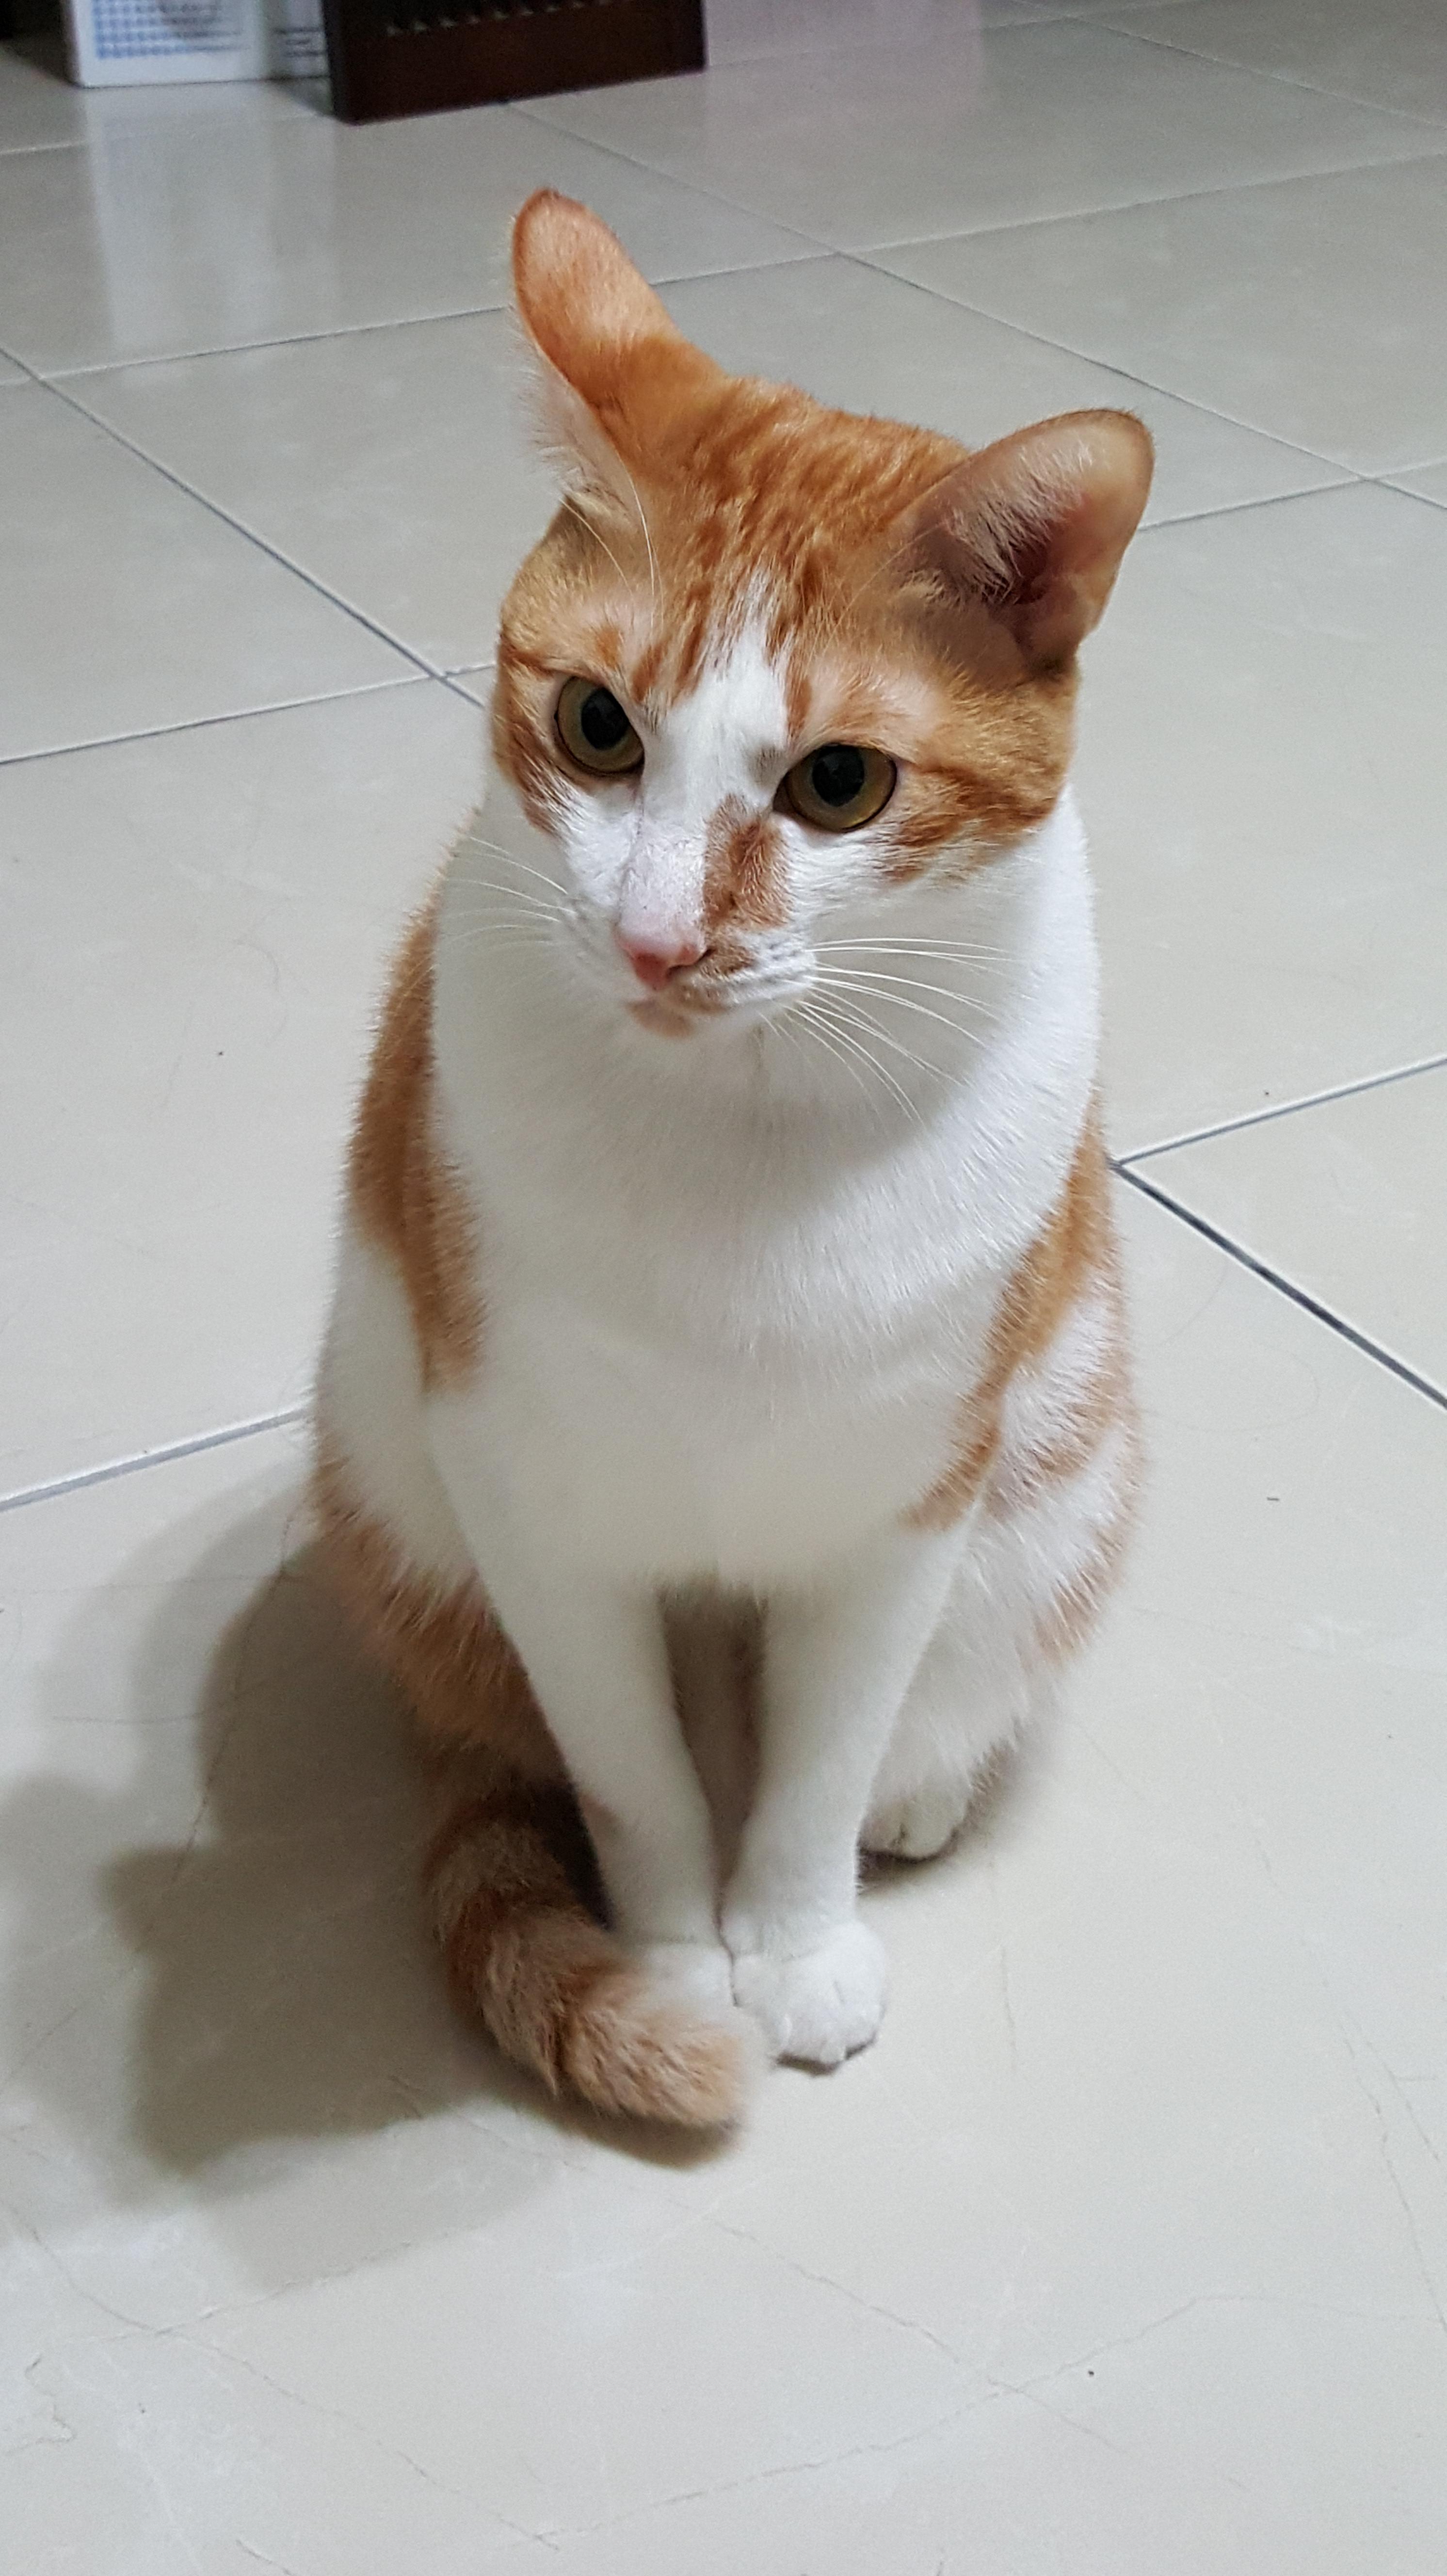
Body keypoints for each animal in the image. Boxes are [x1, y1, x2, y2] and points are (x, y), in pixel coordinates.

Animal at [315, 188, 1151, 2127]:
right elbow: (633, 1774)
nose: (654, 939)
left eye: (841, 783)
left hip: (1055, 1470)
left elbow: (821, 1762)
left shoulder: (906, 1497)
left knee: (945, 1696)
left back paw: (923, 1790)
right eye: (596, 727)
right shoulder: (528, 1490)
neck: (745, 1140)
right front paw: (676, 1960)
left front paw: (792, 1933)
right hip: (397, 1482)